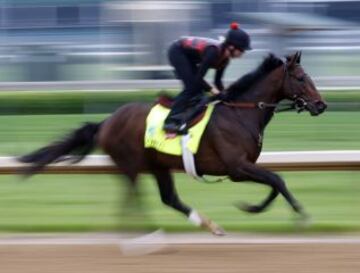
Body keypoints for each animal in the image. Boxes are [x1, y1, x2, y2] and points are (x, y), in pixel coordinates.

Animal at [21, 51, 328, 234]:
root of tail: (106, 122)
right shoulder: (237, 167)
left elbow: (275, 183)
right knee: (132, 197)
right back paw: (143, 232)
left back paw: (208, 225)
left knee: (168, 198)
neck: (240, 112)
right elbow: (277, 179)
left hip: (158, 166)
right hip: (131, 164)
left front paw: (253, 208)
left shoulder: (242, 168)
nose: (321, 105)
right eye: (301, 77)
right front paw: (298, 214)